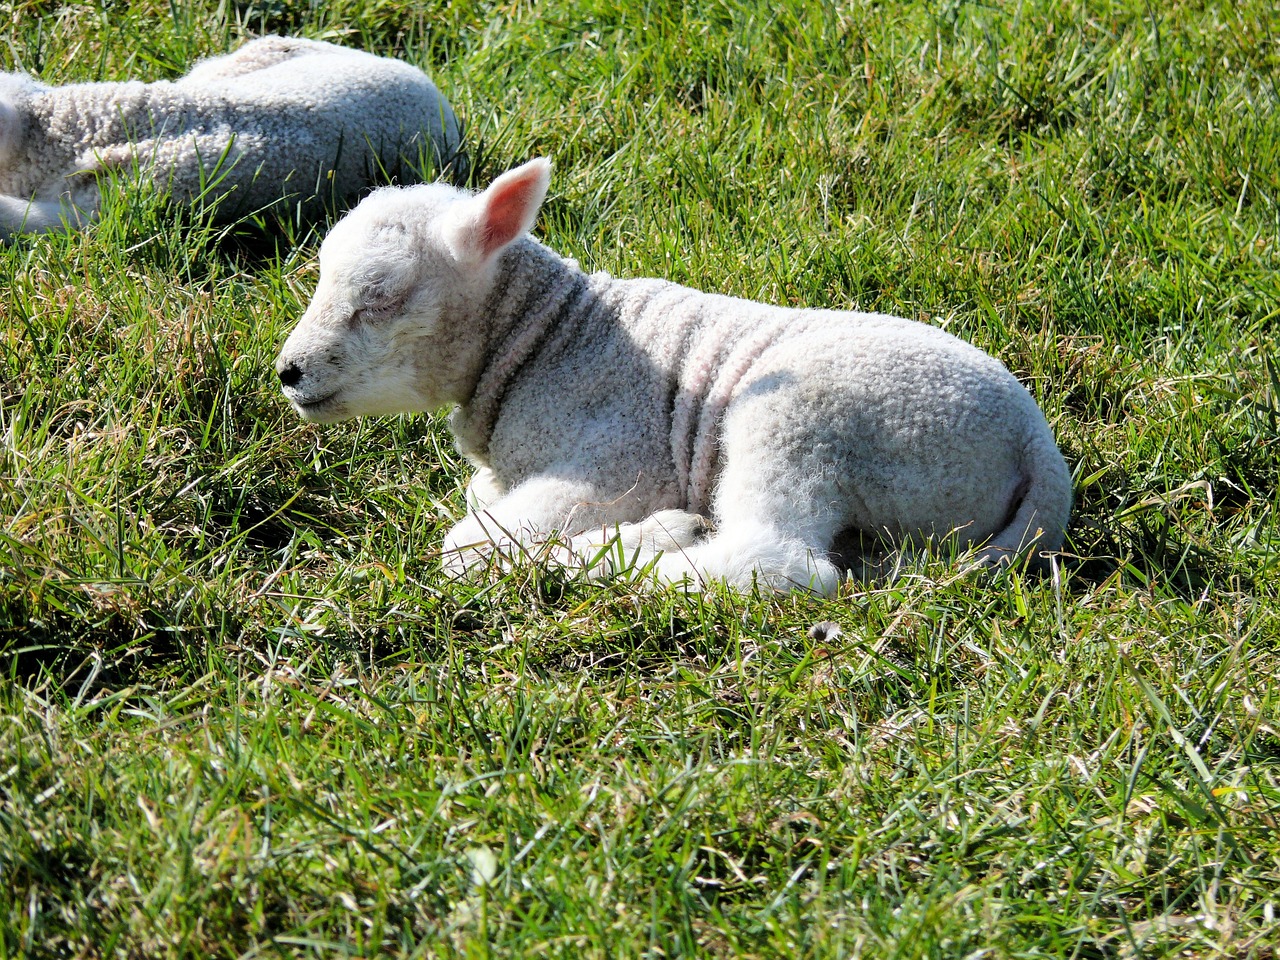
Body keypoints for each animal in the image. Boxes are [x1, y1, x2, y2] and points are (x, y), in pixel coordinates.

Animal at [275, 158, 1075, 593]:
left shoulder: (617, 460)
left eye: (383, 296)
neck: (543, 339)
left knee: (779, 561)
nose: (288, 372)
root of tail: (1036, 447)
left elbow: (466, 544)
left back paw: (639, 549)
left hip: (808, 421)